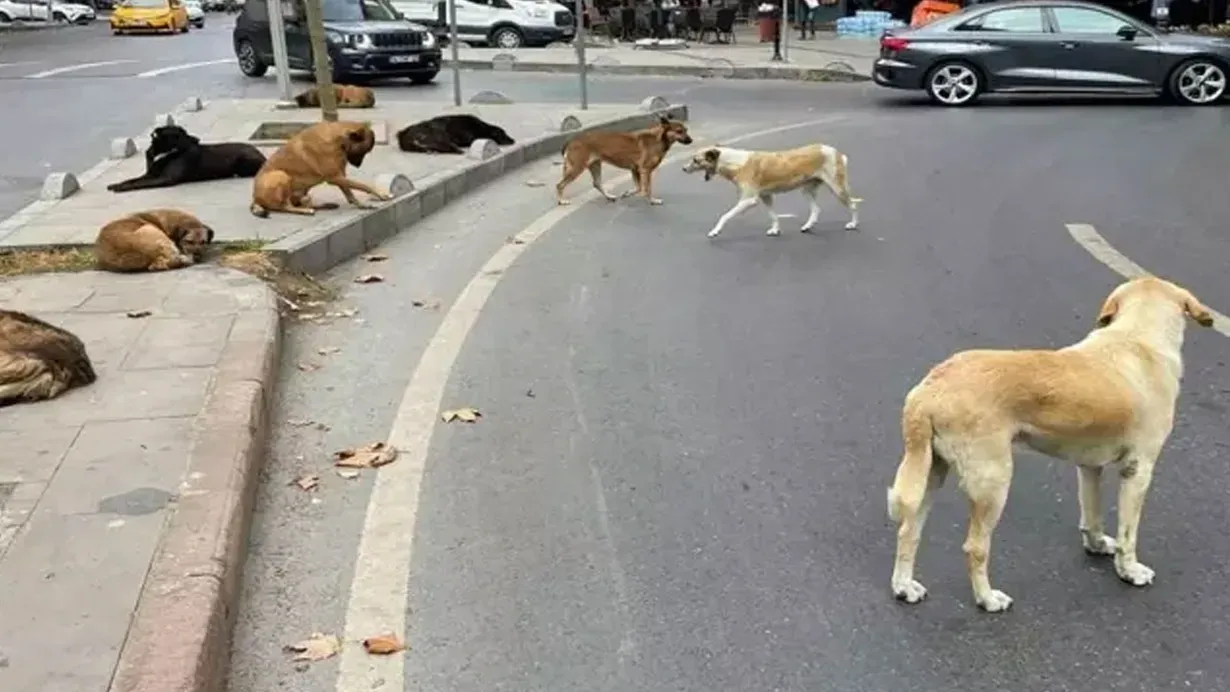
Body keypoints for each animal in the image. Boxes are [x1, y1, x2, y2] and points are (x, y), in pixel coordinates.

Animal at [107, 124, 266, 194]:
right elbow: (132, 180)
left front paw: (121, 188)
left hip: (243, 161)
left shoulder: (166, 178)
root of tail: (261, 154)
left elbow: (139, 183)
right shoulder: (149, 174)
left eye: (184, 132)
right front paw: (116, 184)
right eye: (179, 134)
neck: (165, 153)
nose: (197, 139)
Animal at [247, 118, 386, 216]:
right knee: (285, 206)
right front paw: (380, 194)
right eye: (365, 151)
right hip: (280, 175)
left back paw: (322, 205)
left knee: (301, 202)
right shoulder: (335, 177)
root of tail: (255, 198)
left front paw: (360, 204)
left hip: (301, 190)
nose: (358, 165)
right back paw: (306, 211)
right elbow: (363, 185)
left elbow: (349, 192)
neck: (338, 139)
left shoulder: (340, 176)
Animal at [555, 114, 693, 207]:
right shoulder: (645, 170)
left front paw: (628, 193)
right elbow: (646, 189)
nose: (691, 141)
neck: (659, 138)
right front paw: (652, 200)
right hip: (577, 168)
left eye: (686, 130)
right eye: (679, 131)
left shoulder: (635, 170)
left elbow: (639, 188)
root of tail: (572, 140)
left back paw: (609, 197)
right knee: (560, 185)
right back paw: (561, 201)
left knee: (597, 183)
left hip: (595, 165)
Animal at [683, 142, 865, 238]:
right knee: (816, 209)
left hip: (837, 188)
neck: (733, 162)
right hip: (807, 190)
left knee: (853, 205)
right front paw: (775, 229)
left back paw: (853, 224)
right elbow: (773, 215)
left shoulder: (749, 200)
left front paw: (715, 231)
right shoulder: (766, 196)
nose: (683, 169)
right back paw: (807, 226)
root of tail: (835, 151)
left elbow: (725, 216)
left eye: (696, 160)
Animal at [890, 275, 1215, 612]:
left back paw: (904, 587)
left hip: (929, 473)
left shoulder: (1089, 466)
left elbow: (1092, 514)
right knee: (974, 547)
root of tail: (929, 389)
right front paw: (1129, 571)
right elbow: (1129, 534)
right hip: (992, 483)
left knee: (908, 531)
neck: (1137, 337)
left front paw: (1097, 545)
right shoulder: (1138, 470)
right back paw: (987, 598)